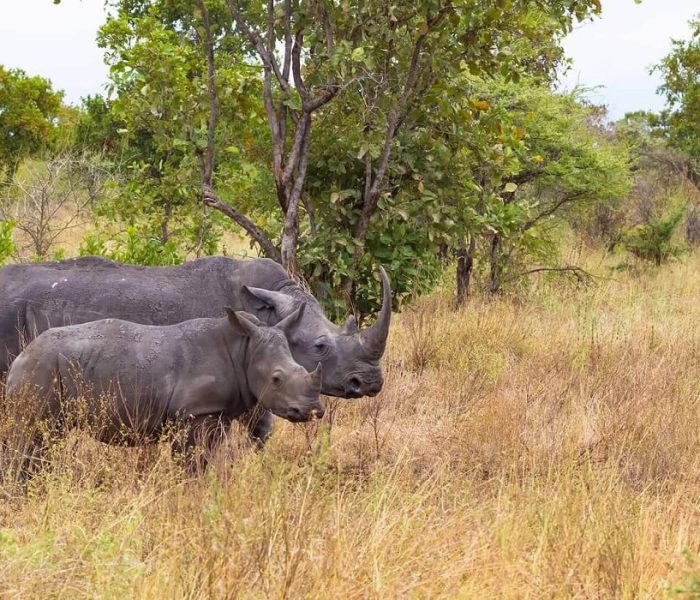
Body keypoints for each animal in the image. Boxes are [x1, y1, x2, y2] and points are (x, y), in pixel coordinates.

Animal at [4, 307, 324, 469]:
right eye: (276, 379)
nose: (314, 411)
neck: (242, 350)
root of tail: (21, 356)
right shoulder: (194, 414)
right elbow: (191, 463)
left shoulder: (218, 414)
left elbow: (206, 461)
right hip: (39, 370)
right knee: (33, 435)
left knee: (48, 438)